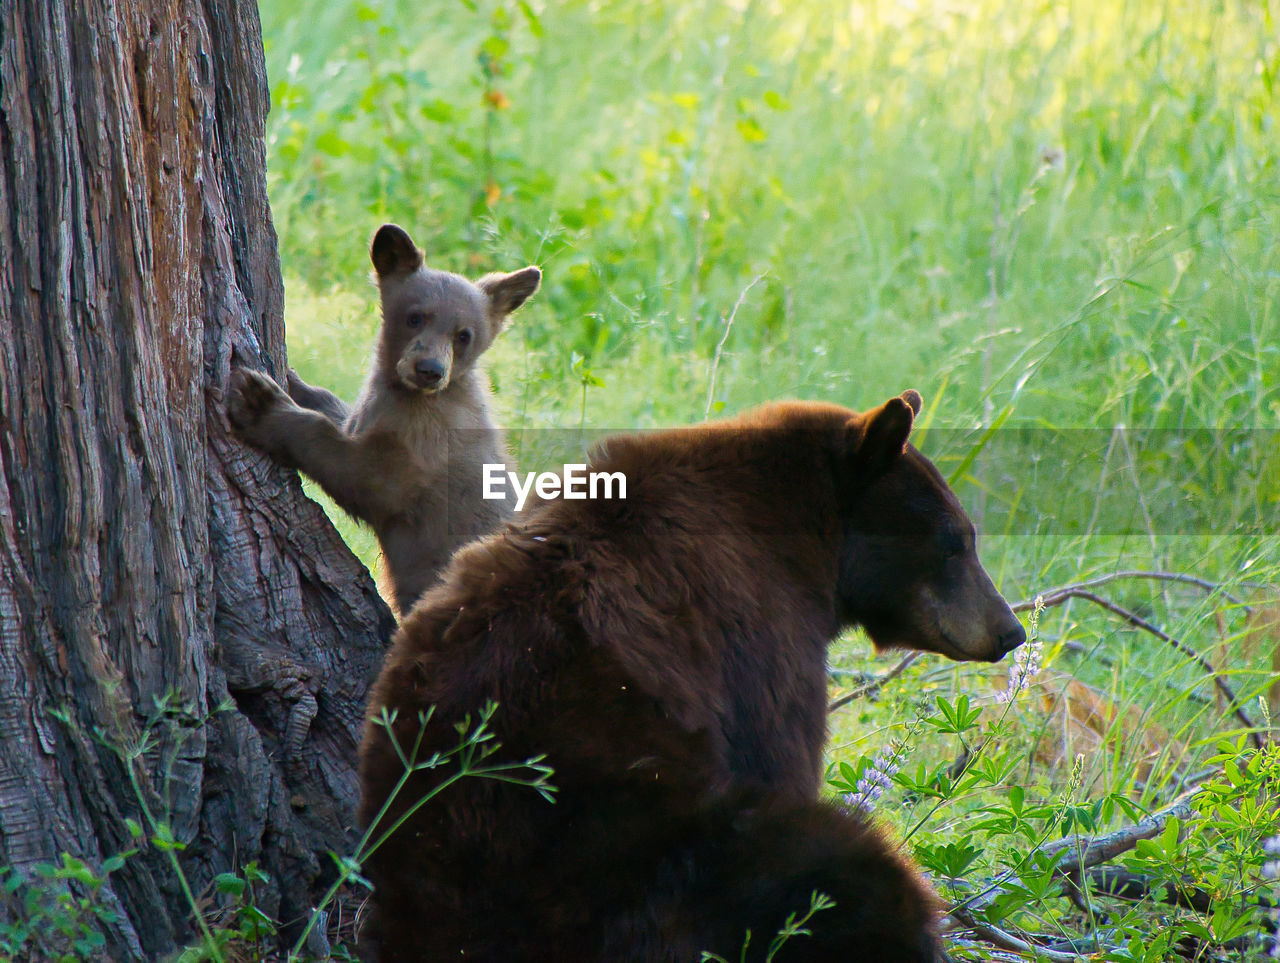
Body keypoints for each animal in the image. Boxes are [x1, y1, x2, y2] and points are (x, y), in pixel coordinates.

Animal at [227, 222, 537, 612]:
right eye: (415, 316)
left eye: (464, 335)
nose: (429, 370)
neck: (411, 395)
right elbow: (341, 413)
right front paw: (295, 381)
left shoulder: (423, 447)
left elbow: (361, 473)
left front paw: (260, 403)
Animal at [358, 389, 1018, 957]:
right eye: (956, 542)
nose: (1010, 630)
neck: (804, 538)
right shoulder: (762, 637)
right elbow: (782, 753)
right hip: (656, 861)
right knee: (843, 870)